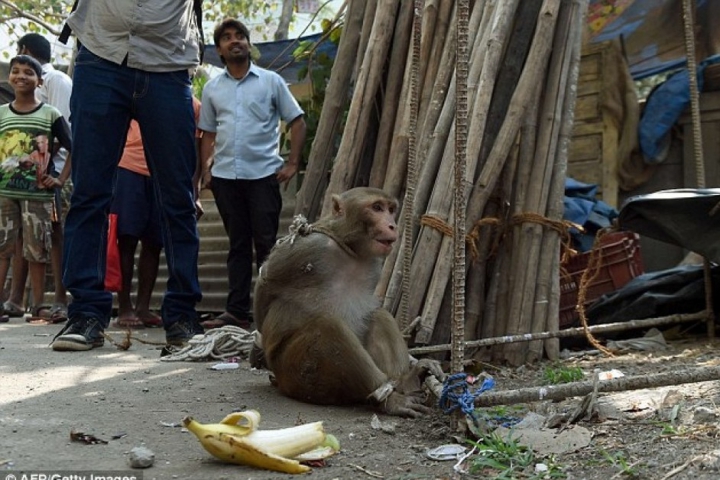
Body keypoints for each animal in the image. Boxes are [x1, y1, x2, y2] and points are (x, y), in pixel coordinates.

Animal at [253, 188, 444, 416]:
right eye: (377, 208)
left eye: (390, 209)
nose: (392, 225)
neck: (350, 249)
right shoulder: (307, 247)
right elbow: (265, 282)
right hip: (295, 373)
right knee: (329, 327)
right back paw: (390, 399)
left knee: (379, 315)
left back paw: (407, 382)